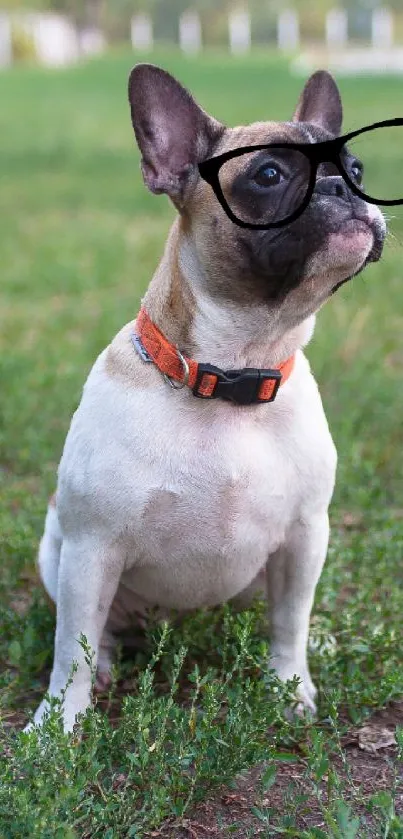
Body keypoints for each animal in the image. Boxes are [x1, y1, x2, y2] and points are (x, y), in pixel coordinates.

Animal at [26, 65, 386, 732]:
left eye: (357, 168)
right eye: (268, 175)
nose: (341, 188)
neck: (235, 370)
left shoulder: (306, 535)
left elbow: (289, 622)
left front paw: (290, 687)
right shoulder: (91, 549)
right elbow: (71, 649)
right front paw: (58, 724)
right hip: (57, 552)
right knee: (95, 631)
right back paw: (109, 662)